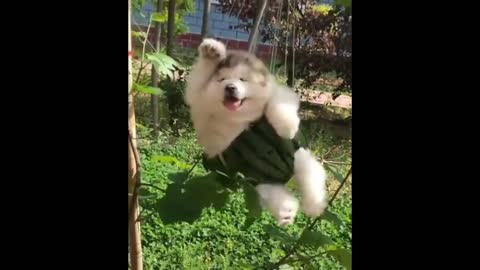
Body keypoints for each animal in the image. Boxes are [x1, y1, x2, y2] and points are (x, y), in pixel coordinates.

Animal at [186, 38, 328, 224]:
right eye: (222, 79)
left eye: (242, 79)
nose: (230, 87)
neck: (239, 118)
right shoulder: (200, 105)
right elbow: (199, 79)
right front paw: (211, 52)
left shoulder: (278, 93)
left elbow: (277, 102)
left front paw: (287, 127)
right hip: (259, 177)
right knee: (274, 192)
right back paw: (286, 212)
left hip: (297, 158)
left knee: (311, 176)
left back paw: (314, 206)